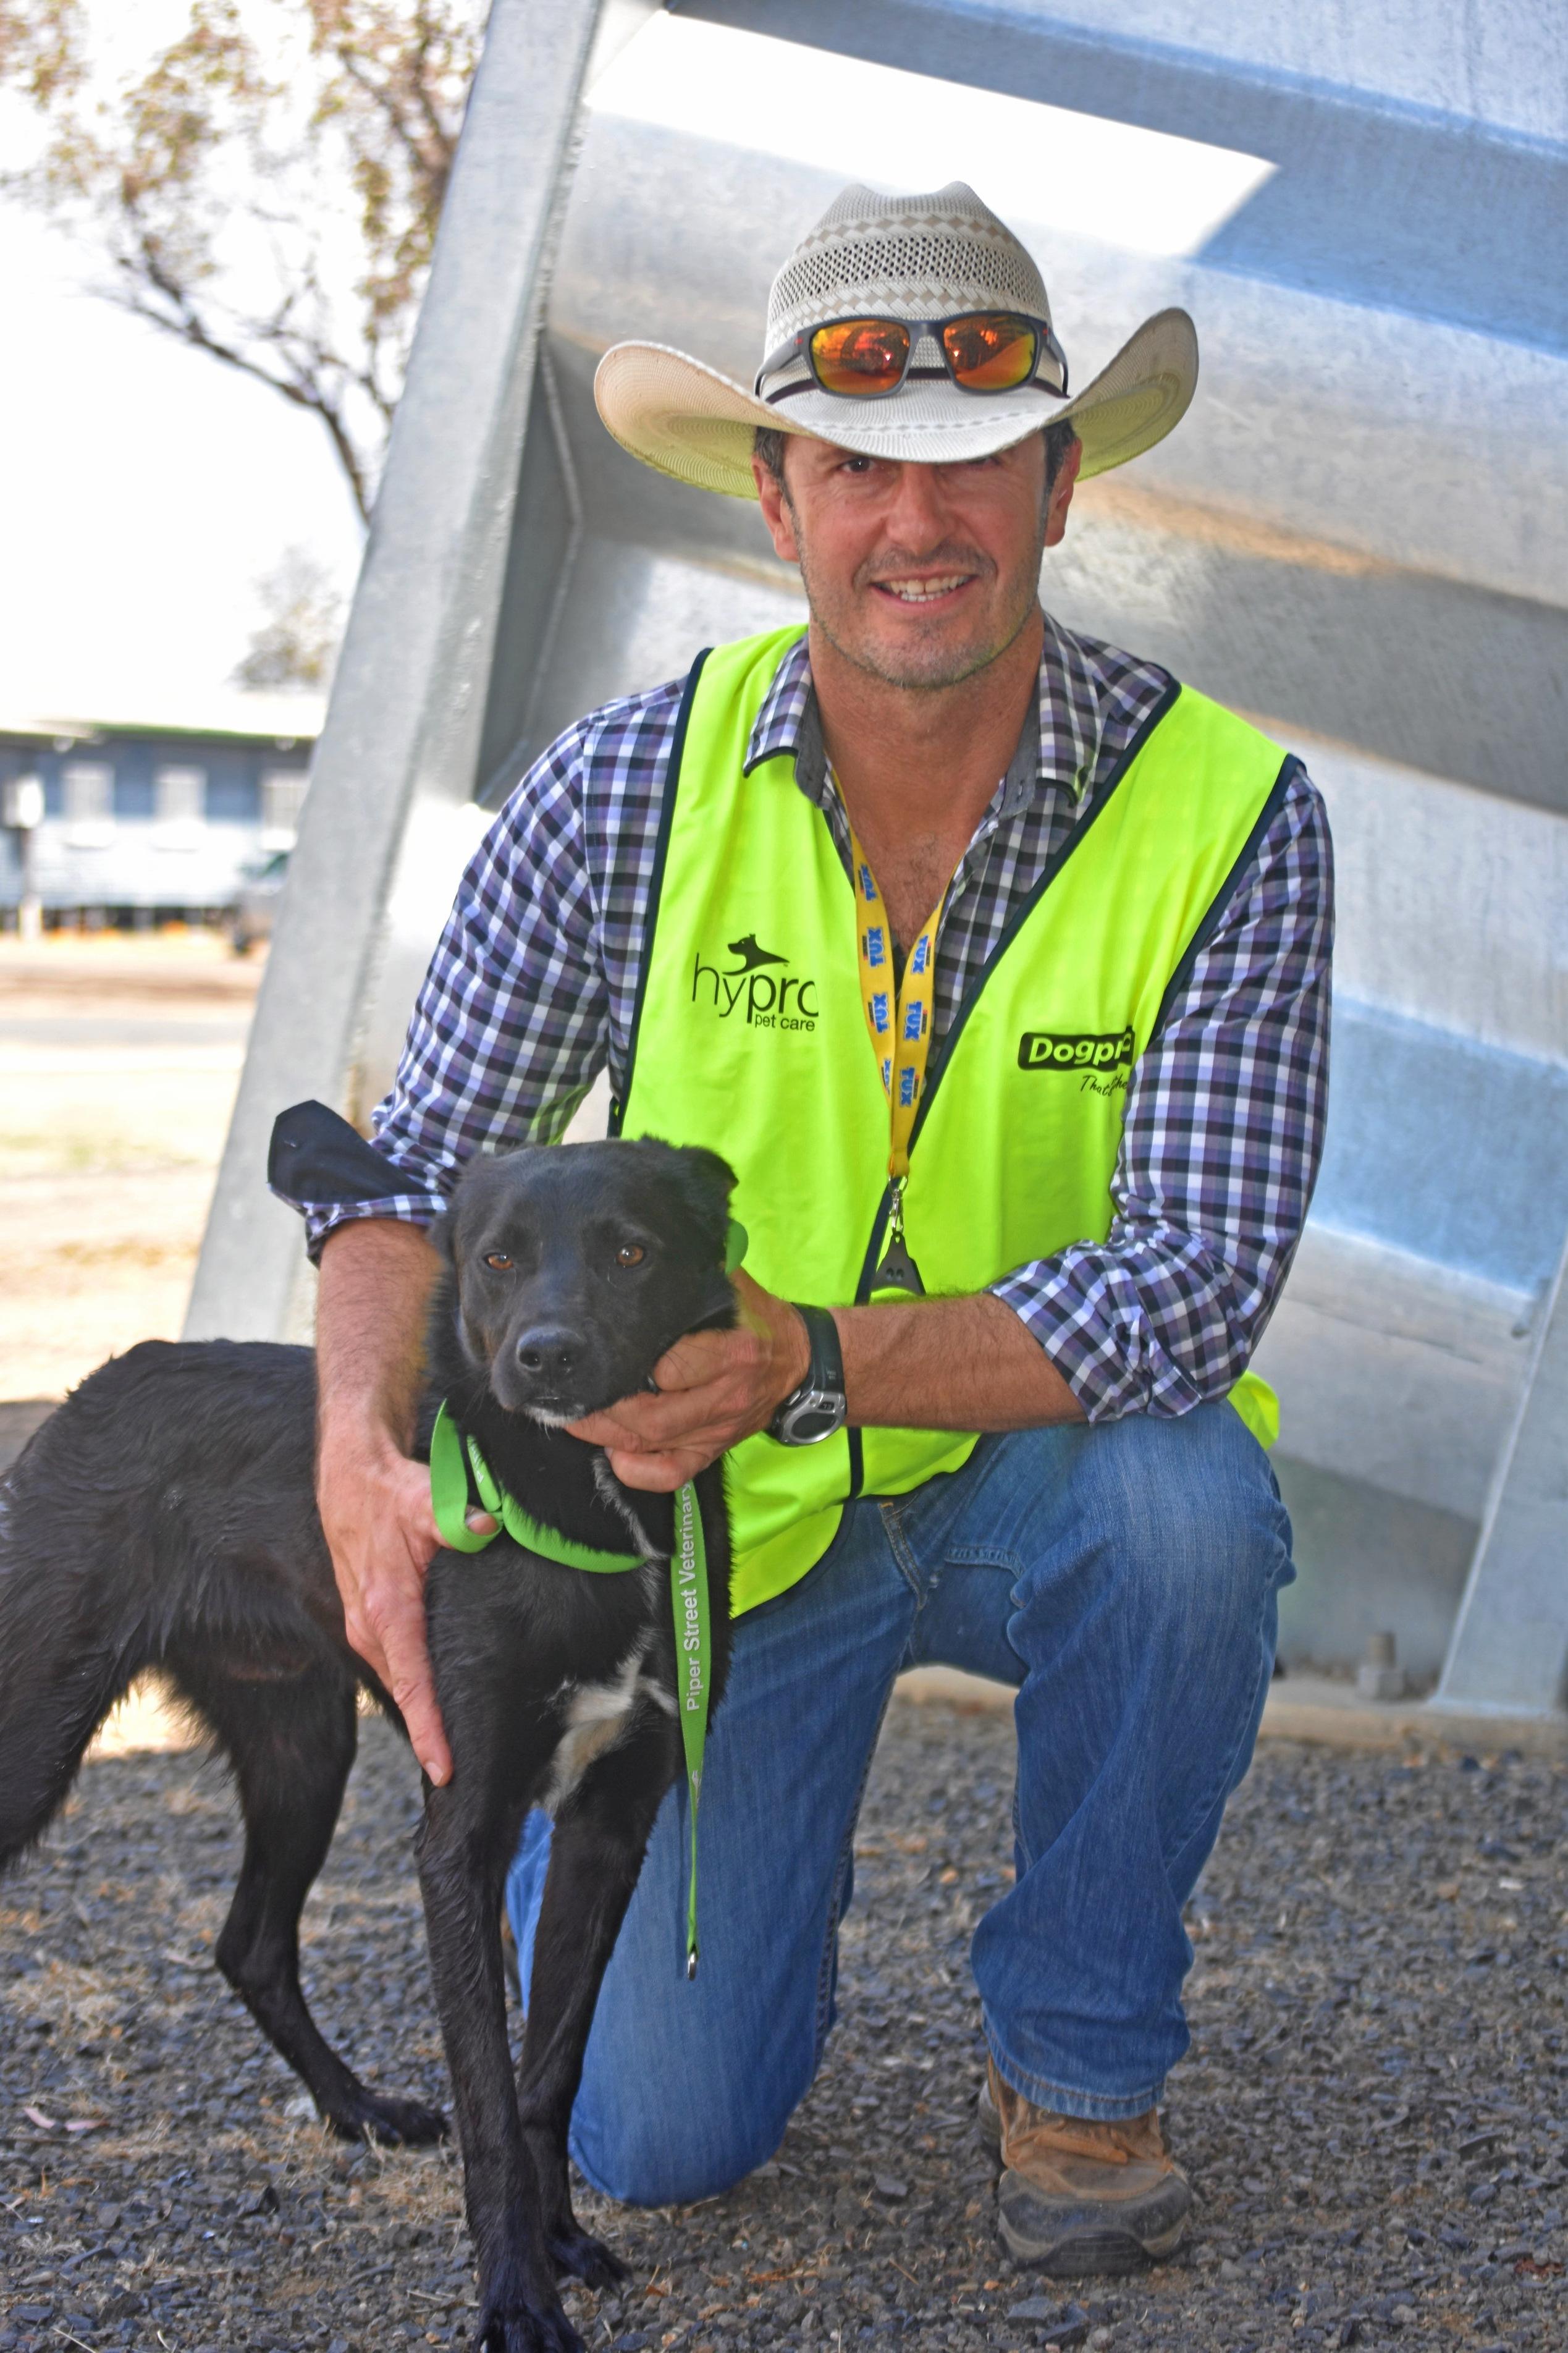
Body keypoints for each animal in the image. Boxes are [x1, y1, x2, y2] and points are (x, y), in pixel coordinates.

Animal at [0, 1139, 739, 2353]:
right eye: (496, 1259)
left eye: (630, 1250)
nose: (544, 1355)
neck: (582, 1502)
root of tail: (95, 1383)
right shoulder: (459, 1835)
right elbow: (489, 2103)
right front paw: (515, 2298)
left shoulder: (608, 1823)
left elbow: (549, 2072)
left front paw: (559, 2242)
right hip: (38, 1735)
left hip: (303, 1747)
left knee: (249, 1944)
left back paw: (358, 2109)